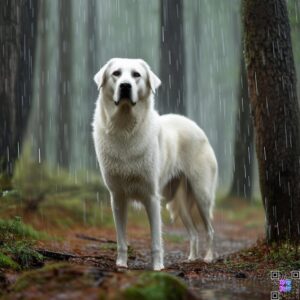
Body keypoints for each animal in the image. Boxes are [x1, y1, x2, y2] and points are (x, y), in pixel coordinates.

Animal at [92, 57, 217, 270]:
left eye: (136, 75)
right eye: (116, 73)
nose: (125, 86)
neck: (124, 128)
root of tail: (197, 127)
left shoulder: (151, 197)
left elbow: (156, 241)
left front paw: (158, 267)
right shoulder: (117, 197)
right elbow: (121, 239)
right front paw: (121, 264)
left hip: (202, 196)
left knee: (209, 230)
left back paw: (208, 257)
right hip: (181, 203)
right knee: (193, 232)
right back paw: (191, 258)